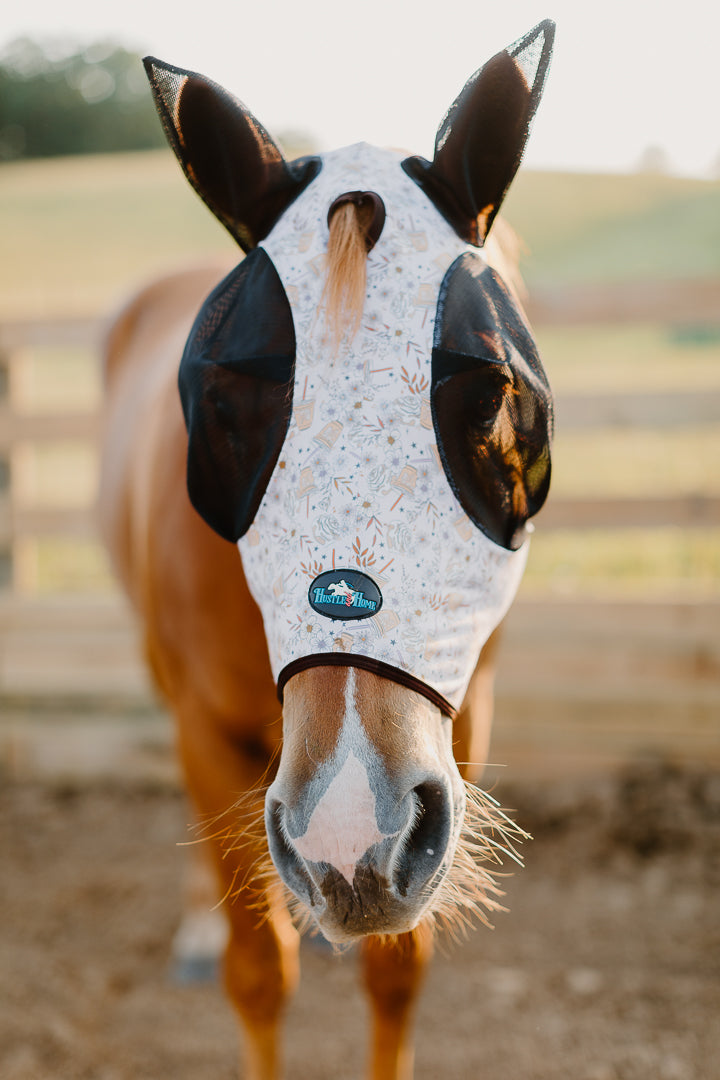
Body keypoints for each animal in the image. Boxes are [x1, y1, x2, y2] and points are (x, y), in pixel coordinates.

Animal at [98, 20, 555, 1080]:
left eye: (494, 398)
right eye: (223, 410)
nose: (352, 828)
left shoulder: (458, 733)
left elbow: (396, 972)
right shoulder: (211, 737)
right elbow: (259, 974)